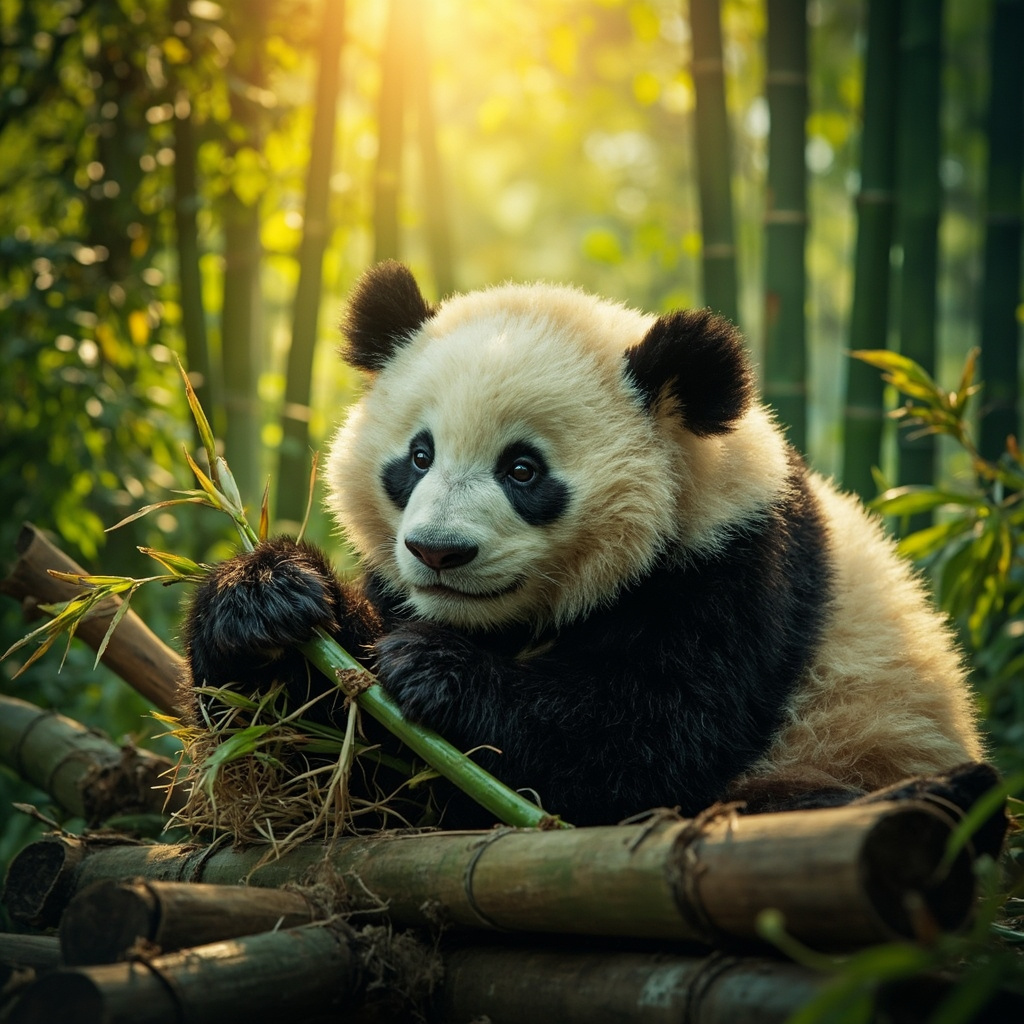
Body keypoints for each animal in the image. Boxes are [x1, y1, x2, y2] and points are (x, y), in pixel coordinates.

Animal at [183, 259, 987, 829]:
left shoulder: (736, 570)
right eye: (418, 456)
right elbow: (341, 766)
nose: (439, 551)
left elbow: (646, 741)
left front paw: (436, 670)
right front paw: (266, 600)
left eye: (523, 469)